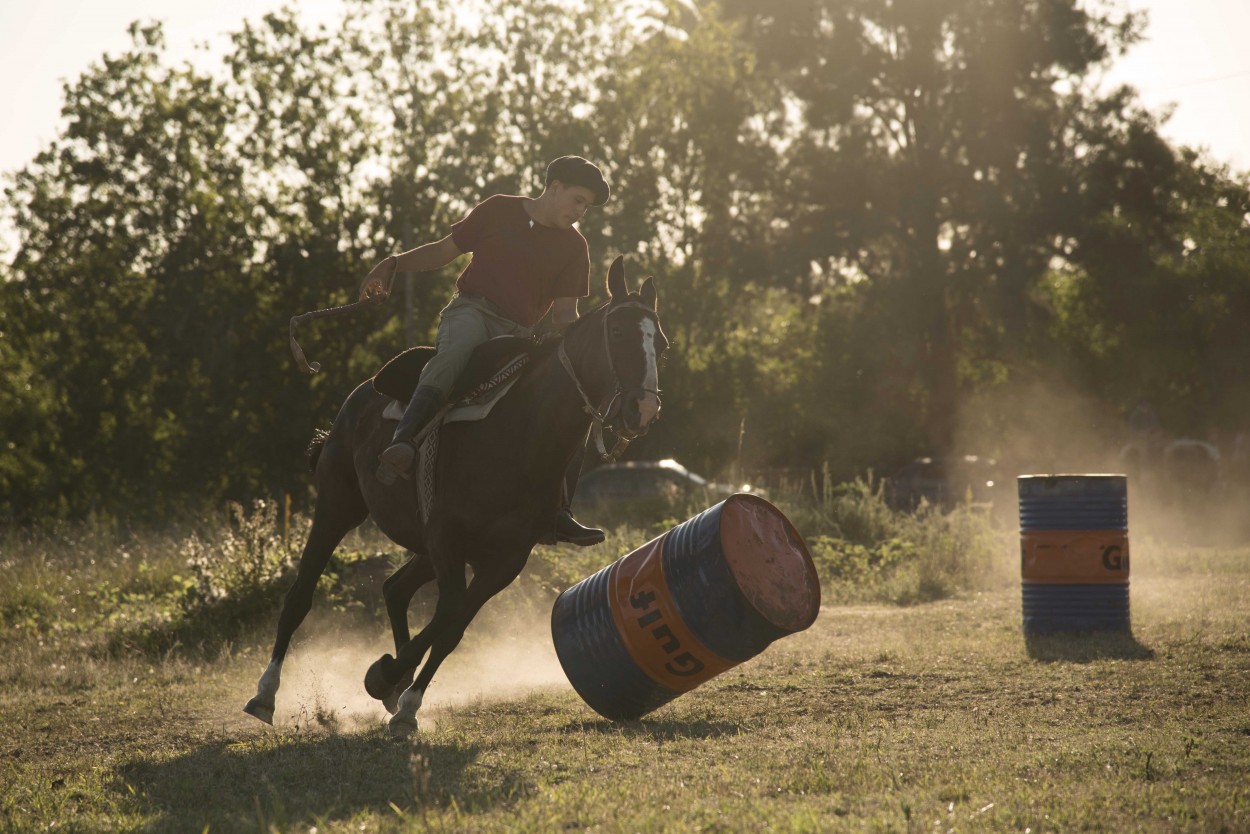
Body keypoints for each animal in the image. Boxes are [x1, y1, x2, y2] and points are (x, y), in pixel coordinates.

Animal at [247, 257, 670, 735]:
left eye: (661, 344)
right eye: (617, 332)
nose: (642, 410)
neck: (520, 435)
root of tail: (358, 397)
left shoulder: (503, 559)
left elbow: (454, 624)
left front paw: (402, 697)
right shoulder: (448, 538)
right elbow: (449, 613)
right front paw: (386, 679)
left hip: (424, 545)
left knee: (395, 589)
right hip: (339, 506)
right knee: (301, 593)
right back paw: (265, 693)